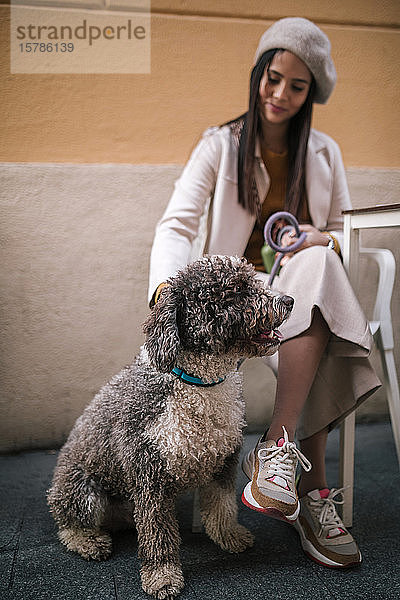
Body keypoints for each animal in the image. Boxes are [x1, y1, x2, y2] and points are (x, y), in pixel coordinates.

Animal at [48, 255, 294, 596]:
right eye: (236, 291)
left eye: (252, 281)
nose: (289, 300)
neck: (197, 384)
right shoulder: (149, 476)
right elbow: (158, 533)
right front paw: (162, 576)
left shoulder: (223, 459)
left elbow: (222, 505)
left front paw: (229, 536)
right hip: (82, 490)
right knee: (69, 524)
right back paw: (88, 541)